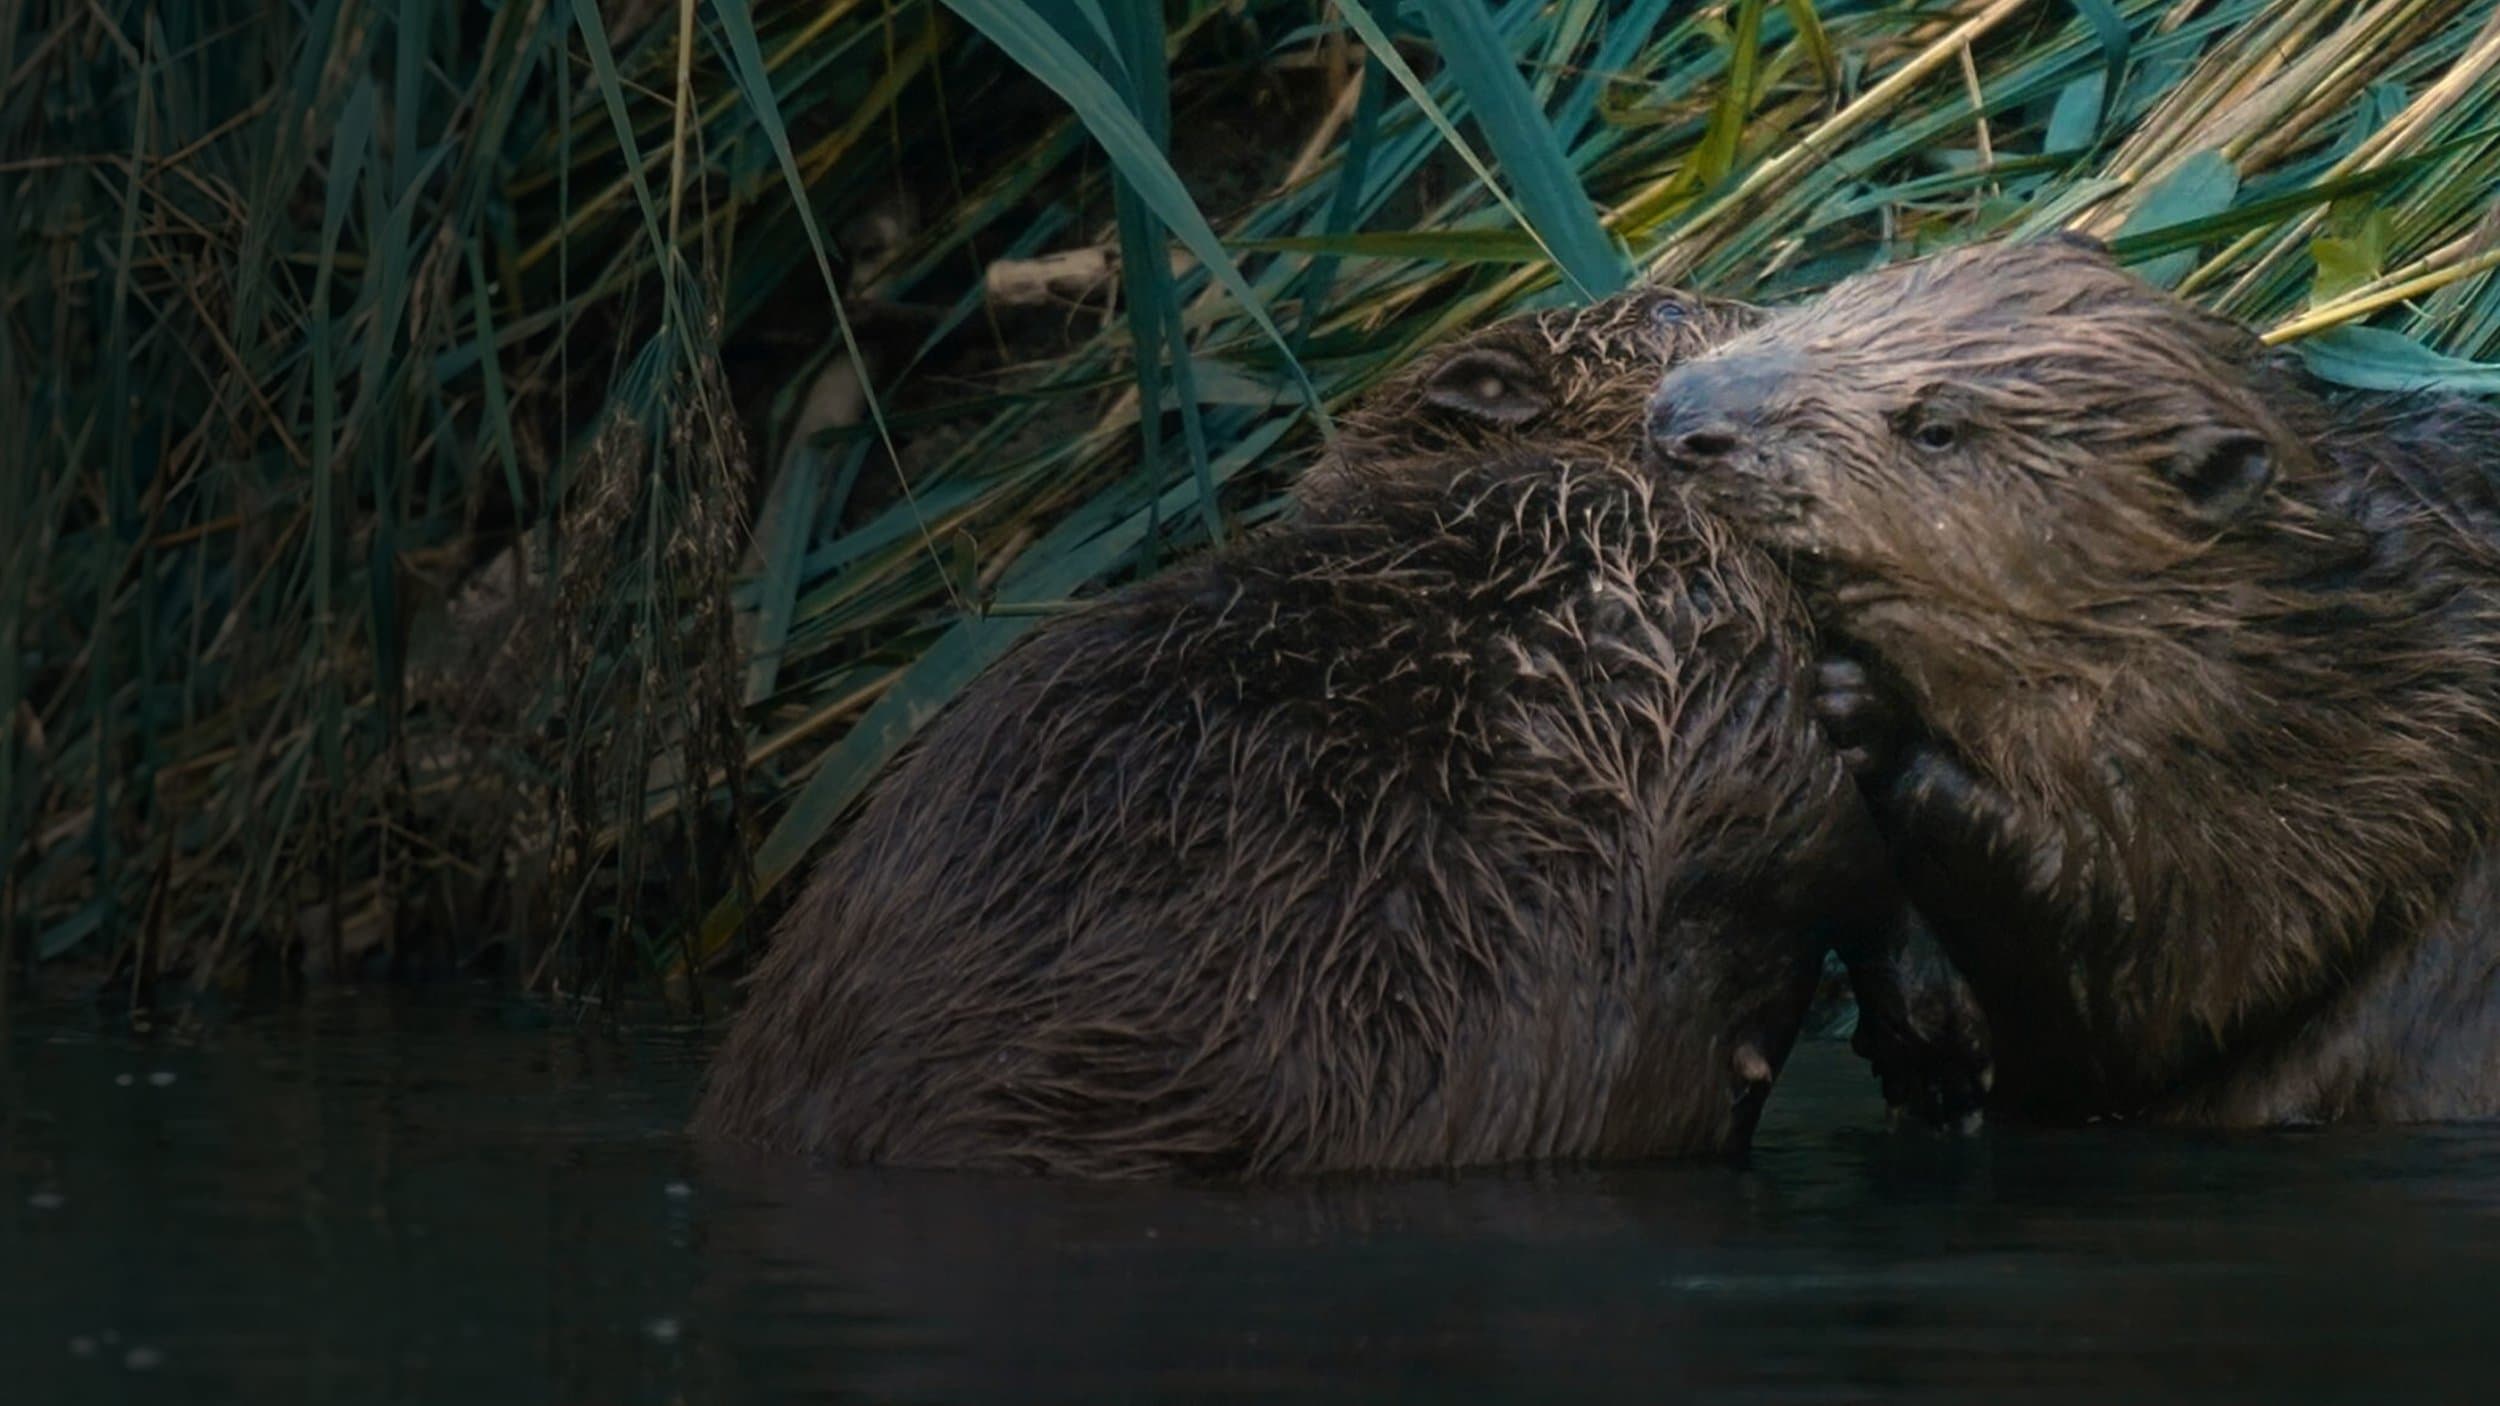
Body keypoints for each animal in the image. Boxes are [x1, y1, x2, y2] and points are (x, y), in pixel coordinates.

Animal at [1640, 235, 2500, 1120]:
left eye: (1937, 430)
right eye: (1842, 297)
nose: (1681, 413)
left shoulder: (2320, 774)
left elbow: (2142, 982)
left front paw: (1855, 704)